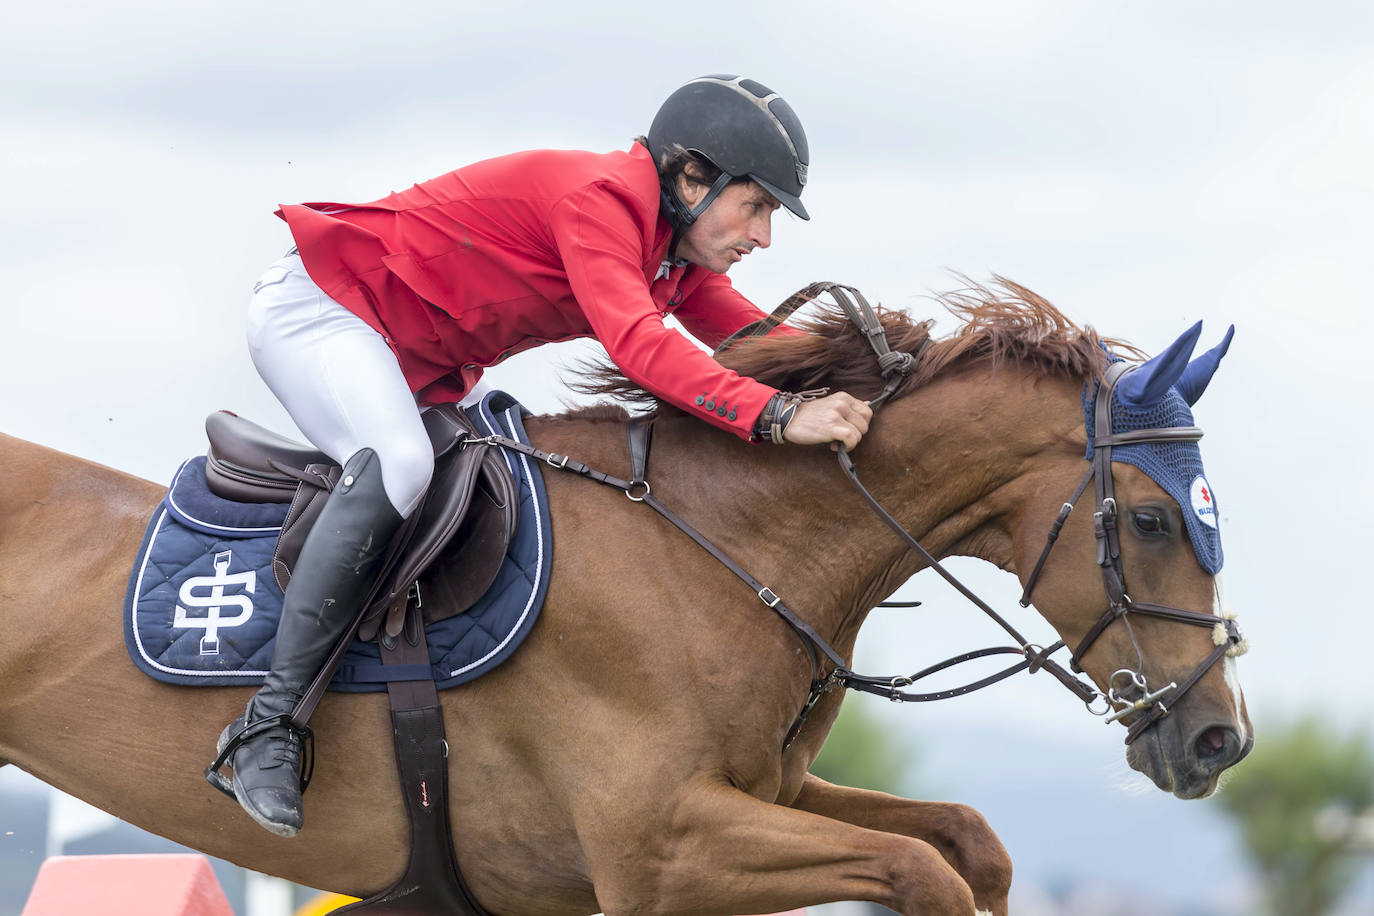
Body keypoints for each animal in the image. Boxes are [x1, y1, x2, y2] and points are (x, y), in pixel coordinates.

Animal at [0, 281, 1247, 916]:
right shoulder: (662, 847)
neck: (718, 545)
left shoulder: (759, 795)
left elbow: (965, 842)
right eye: (1150, 520)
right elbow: (922, 871)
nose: (1217, 739)